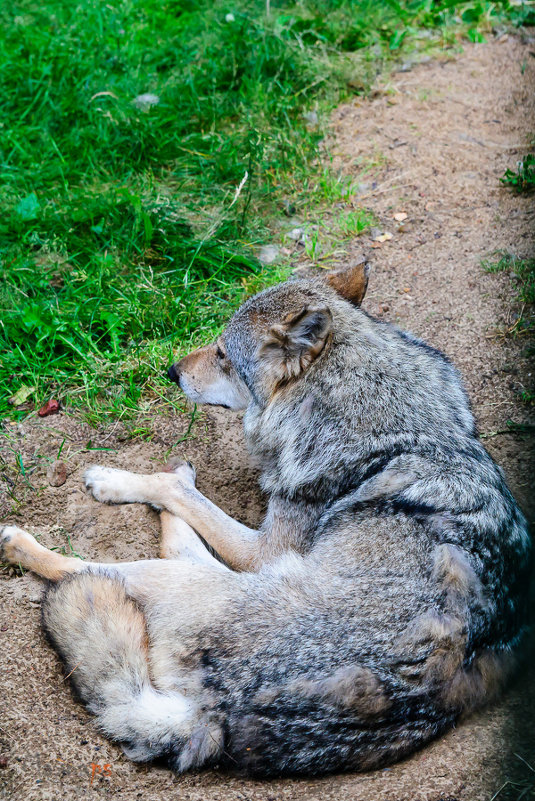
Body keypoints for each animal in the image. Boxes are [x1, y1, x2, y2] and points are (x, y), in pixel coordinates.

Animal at [0, 262, 532, 776]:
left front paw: (115, 480)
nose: (172, 370)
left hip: (198, 579)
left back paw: (19, 539)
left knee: (91, 566)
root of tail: (210, 719)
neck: (388, 421)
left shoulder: (264, 548)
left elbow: (176, 493)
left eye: (222, 355)